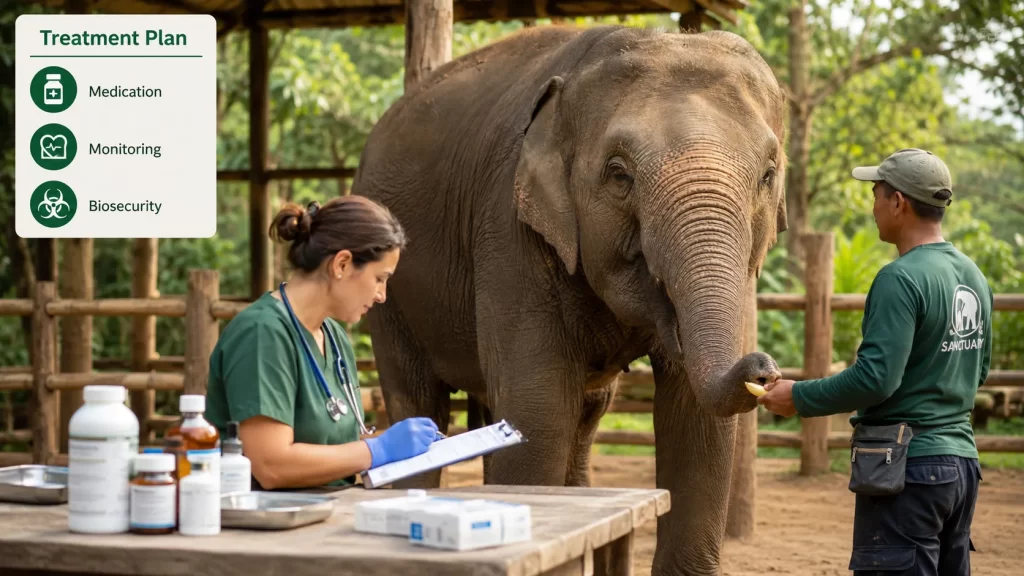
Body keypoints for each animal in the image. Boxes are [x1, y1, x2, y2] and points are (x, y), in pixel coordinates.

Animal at [352, 24, 787, 575]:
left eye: (768, 174)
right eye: (619, 174)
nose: (763, 370)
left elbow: (696, 425)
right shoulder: (508, 230)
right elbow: (537, 412)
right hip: (389, 294)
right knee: (419, 400)